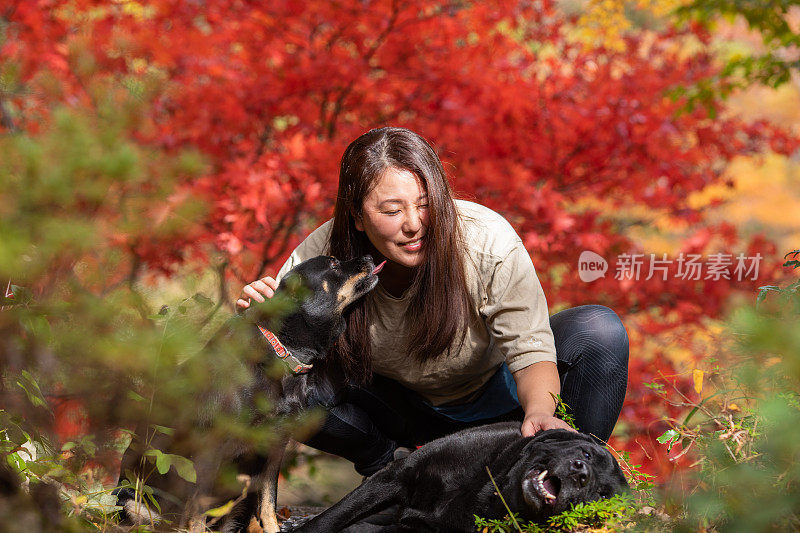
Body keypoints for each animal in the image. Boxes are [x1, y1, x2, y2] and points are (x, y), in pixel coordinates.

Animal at [115, 254, 384, 532]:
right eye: (334, 265)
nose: (369, 256)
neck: (282, 352)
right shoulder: (209, 449)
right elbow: (197, 511)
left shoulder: (275, 446)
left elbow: (268, 505)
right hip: (133, 503)